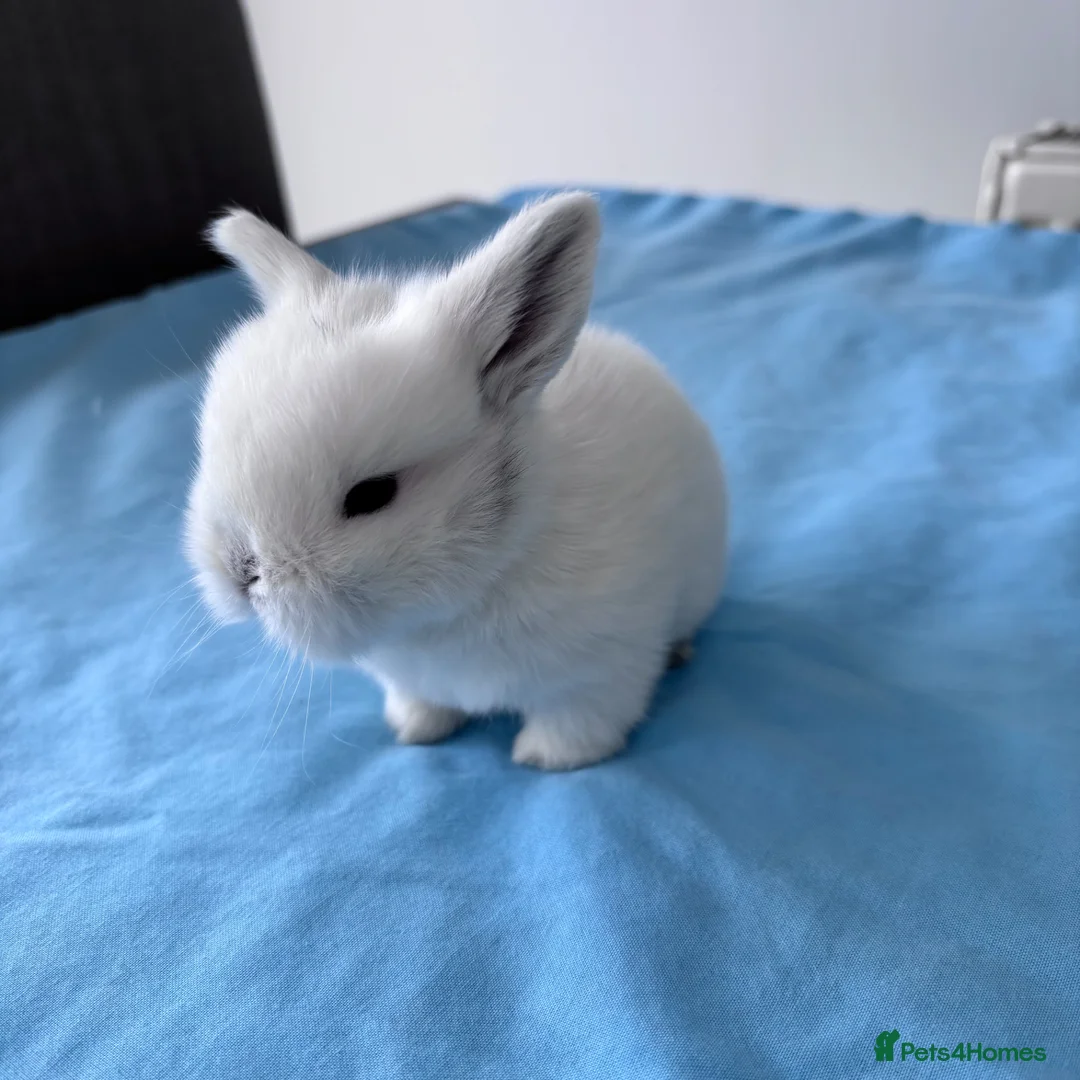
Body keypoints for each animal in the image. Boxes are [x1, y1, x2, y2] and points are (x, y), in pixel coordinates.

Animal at [185, 193, 727, 770]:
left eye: (373, 494)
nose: (240, 575)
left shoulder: (600, 676)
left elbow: (577, 723)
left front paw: (544, 758)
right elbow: (424, 703)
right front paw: (416, 730)